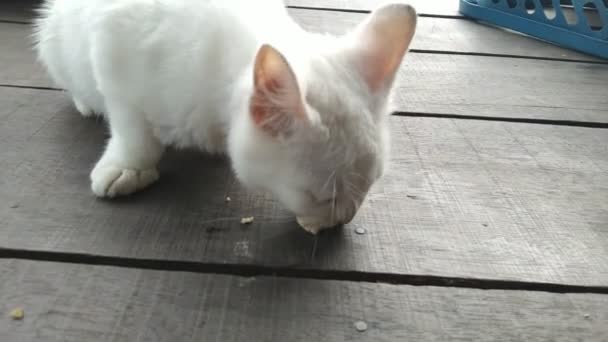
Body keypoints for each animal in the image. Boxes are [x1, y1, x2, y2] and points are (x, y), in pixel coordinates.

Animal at [34, 0, 418, 232]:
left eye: (369, 187)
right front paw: (130, 166)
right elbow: (133, 129)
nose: (345, 219)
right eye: (322, 198)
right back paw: (86, 102)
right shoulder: (113, 53)